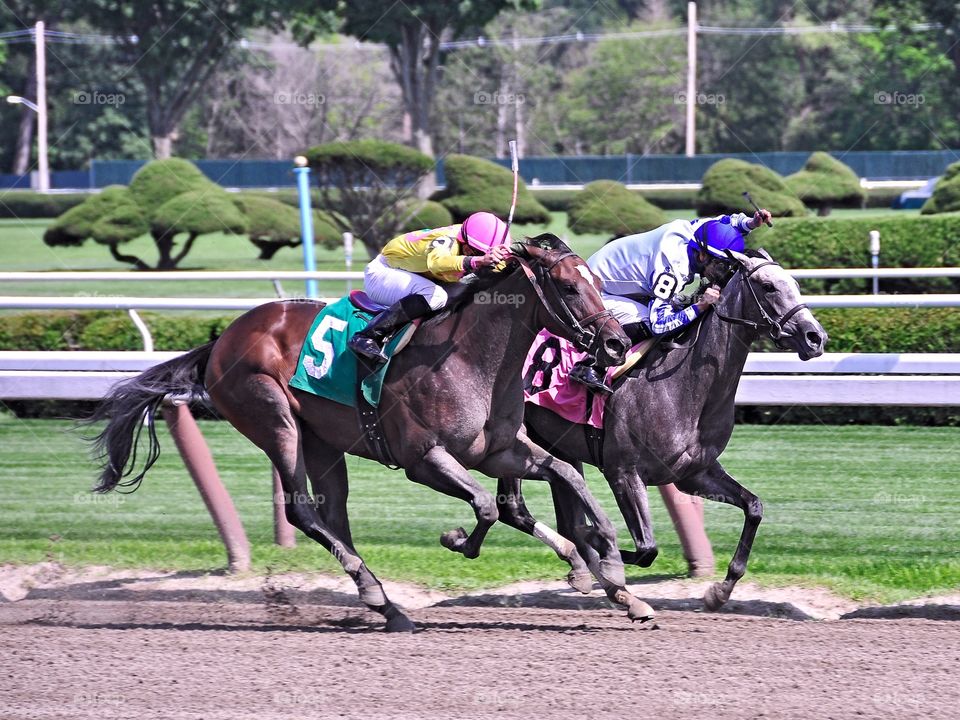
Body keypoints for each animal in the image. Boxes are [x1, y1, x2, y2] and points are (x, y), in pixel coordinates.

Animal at [90, 235, 656, 632]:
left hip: (322, 442)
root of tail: (222, 338)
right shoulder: (423, 459)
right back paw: (374, 593)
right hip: (273, 420)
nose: (614, 343)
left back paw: (386, 604)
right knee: (302, 510)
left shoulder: (498, 451)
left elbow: (565, 476)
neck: (469, 358)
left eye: (597, 281)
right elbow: (485, 506)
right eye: (569, 286)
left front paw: (613, 566)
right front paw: (458, 540)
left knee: (333, 514)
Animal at [496, 250, 824, 612]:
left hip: (555, 445)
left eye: (795, 285)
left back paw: (578, 568)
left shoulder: (694, 474)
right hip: (512, 440)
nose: (816, 337)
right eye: (768, 287)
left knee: (554, 511)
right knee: (514, 509)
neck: (687, 385)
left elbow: (754, 507)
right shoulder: (623, 472)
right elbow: (645, 549)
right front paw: (602, 555)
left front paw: (719, 592)